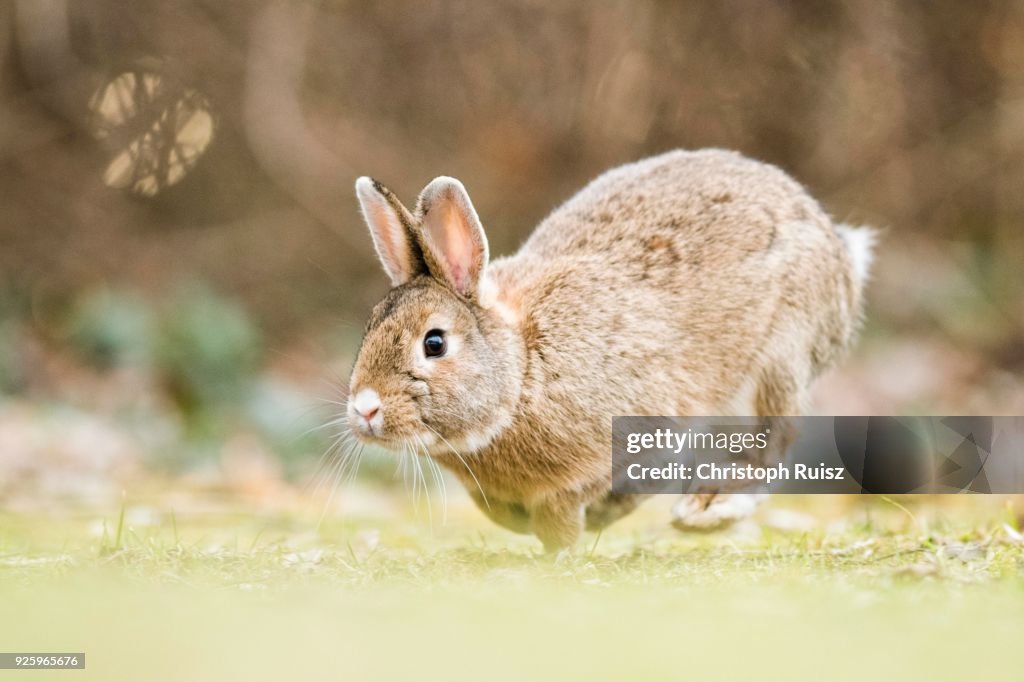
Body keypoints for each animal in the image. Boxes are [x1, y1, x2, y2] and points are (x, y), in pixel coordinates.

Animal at [346, 150, 872, 552]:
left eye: (434, 343)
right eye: (368, 329)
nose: (365, 409)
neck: (523, 370)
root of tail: (838, 248)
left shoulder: (649, 427)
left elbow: (574, 508)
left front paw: (567, 543)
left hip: (780, 357)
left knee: (773, 443)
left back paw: (707, 507)